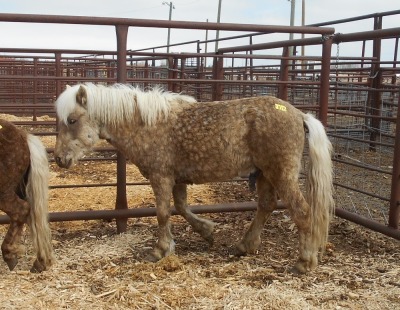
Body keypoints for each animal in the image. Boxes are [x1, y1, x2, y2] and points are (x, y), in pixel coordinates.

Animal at [54, 83, 334, 274]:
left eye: (72, 120)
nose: (59, 159)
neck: (147, 125)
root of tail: (299, 114)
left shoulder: (161, 177)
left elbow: (163, 213)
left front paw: (160, 250)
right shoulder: (177, 179)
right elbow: (181, 207)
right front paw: (207, 231)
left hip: (281, 173)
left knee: (302, 212)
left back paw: (305, 261)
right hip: (265, 173)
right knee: (266, 206)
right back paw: (245, 245)